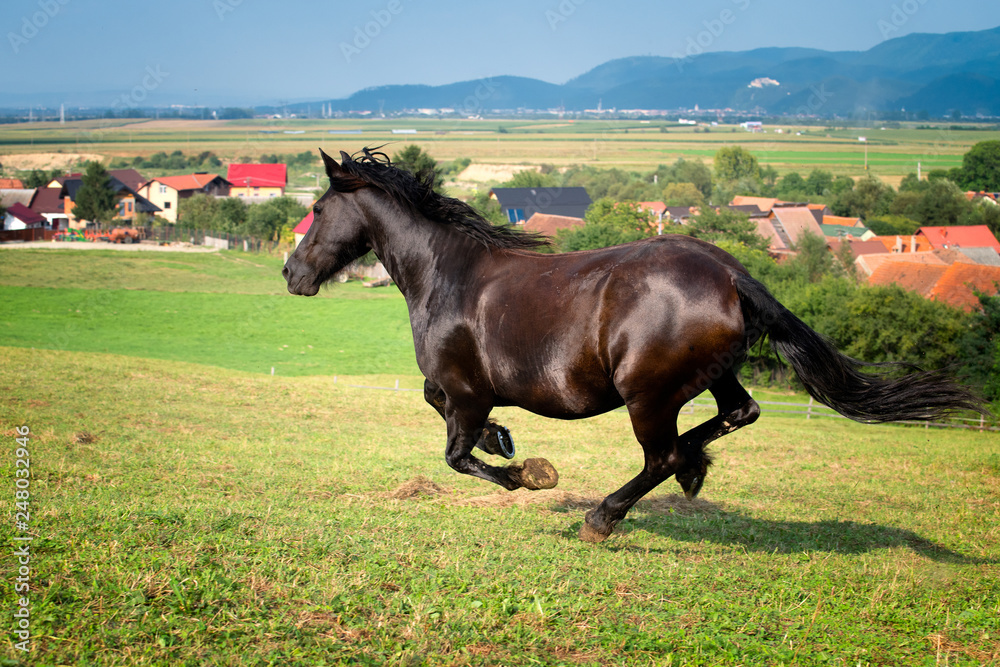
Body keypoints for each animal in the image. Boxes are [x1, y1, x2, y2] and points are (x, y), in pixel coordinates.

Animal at [283, 147, 985, 543]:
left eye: (316, 209)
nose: (291, 274)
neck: (447, 274)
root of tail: (731, 273)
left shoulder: (465, 389)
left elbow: (456, 454)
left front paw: (528, 472)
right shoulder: (462, 392)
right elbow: (450, 422)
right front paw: (507, 441)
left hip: (646, 393)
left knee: (661, 456)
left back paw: (603, 518)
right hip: (707, 377)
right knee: (735, 414)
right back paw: (697, 469)